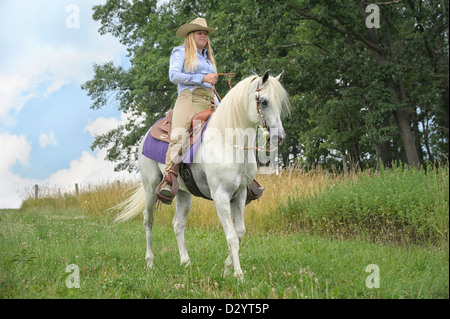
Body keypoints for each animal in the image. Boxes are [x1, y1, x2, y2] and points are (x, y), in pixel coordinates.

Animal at [114, 70, 290, 280]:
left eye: (280, 102)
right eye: (263, 101)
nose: (279, 137)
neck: (228, 142)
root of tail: (149, 131)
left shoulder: (239, 195)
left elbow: (240, 233)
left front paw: (227, 268)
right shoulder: (221, 196)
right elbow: (231, 236)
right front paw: (238, 274)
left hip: (183, 193)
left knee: (178, 224)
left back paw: (186, 262)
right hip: (150, 187)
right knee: (148, 221)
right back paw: (150, 263)